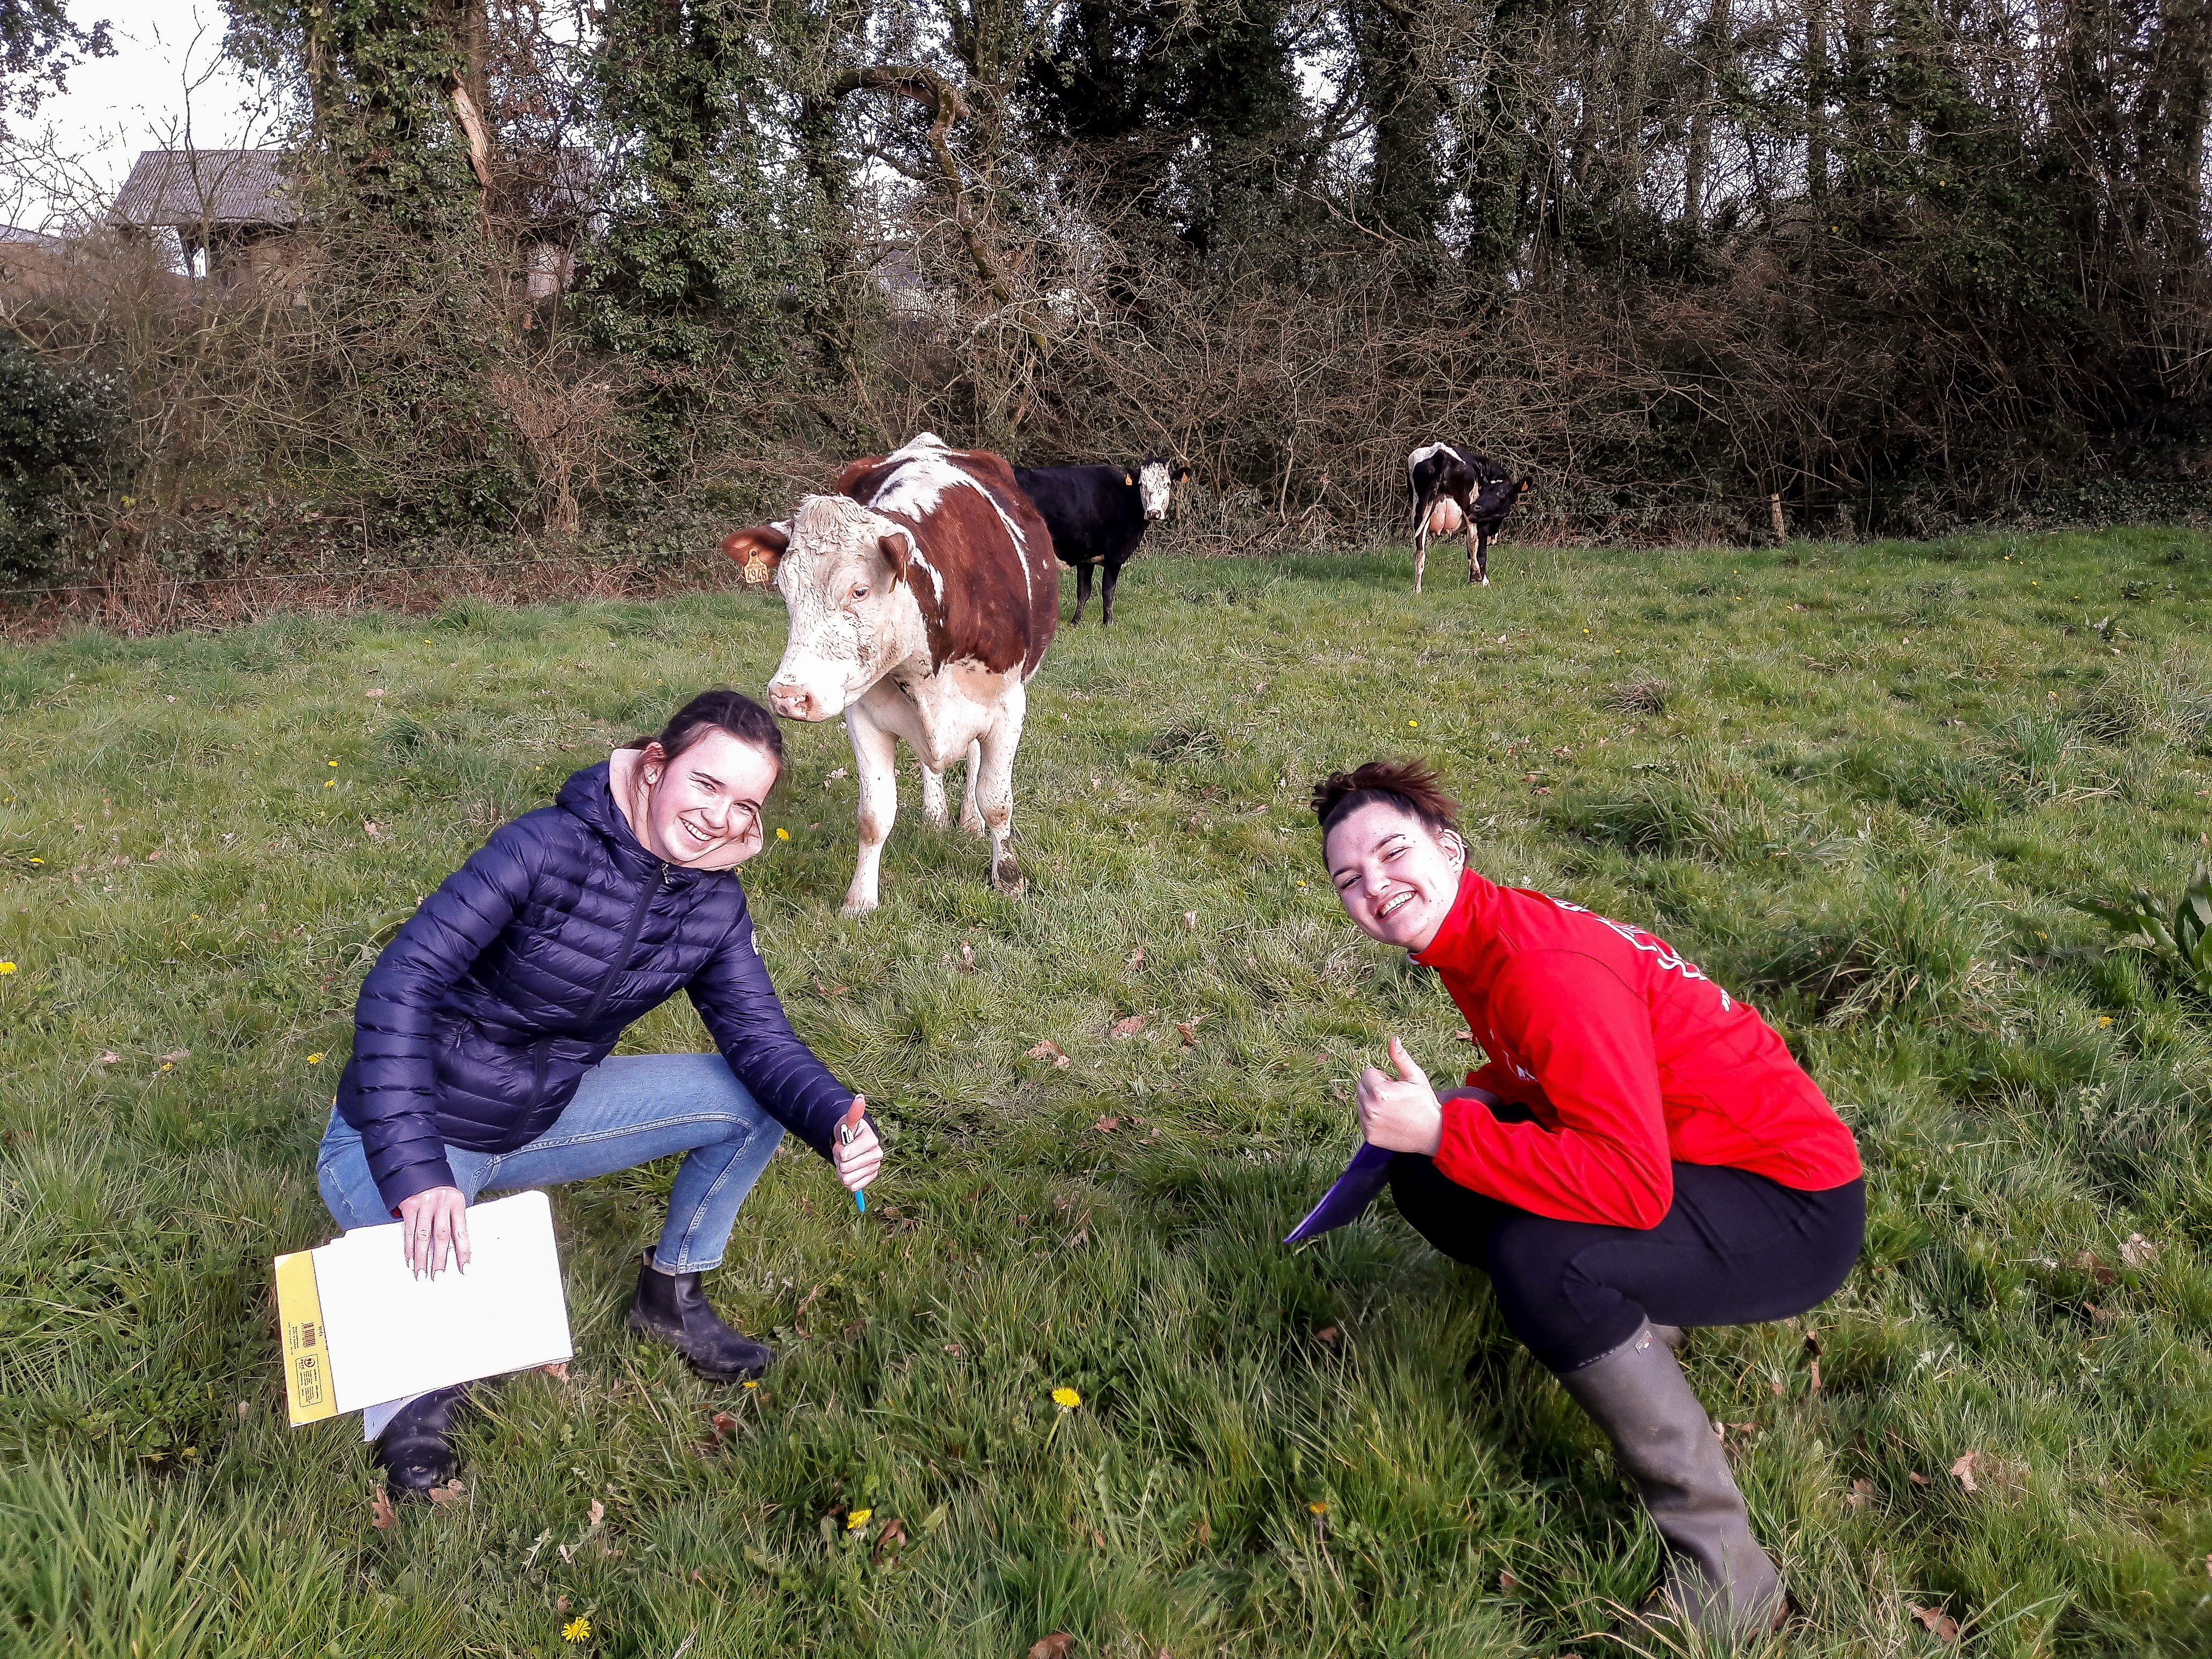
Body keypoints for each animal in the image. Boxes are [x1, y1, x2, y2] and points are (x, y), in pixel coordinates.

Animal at [721, 436, 1057, 915]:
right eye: (785, 591)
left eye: (860, 590)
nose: (788, 695)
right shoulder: (863, 716)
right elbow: (874, 815)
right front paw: (860, 901)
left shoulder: (1008, 706)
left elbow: (997, 802)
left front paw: (1007, 879)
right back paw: (936, 813)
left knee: (974, 761)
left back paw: (968, 820)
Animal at [1013, 458, 1194, 628]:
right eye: (1142, 484)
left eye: (1168, 484)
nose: (1154, 513)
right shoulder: (1115, 554)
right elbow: (1108, 590)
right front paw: (1109, 622)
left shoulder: (1086, 555)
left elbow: (1084, 591)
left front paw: (1076, 621)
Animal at [1407, 444, 1530, 593]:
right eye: (1484, 491)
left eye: (1501, 493)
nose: (1477, 506)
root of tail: (1441, 452)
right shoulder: (1482, 524)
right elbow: (1480, 553)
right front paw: (1484, 582)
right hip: (1469, 511)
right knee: (1473, 540)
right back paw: (1476, 576)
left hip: (1419, 511)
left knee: (1419, 550)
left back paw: (1418, 590)